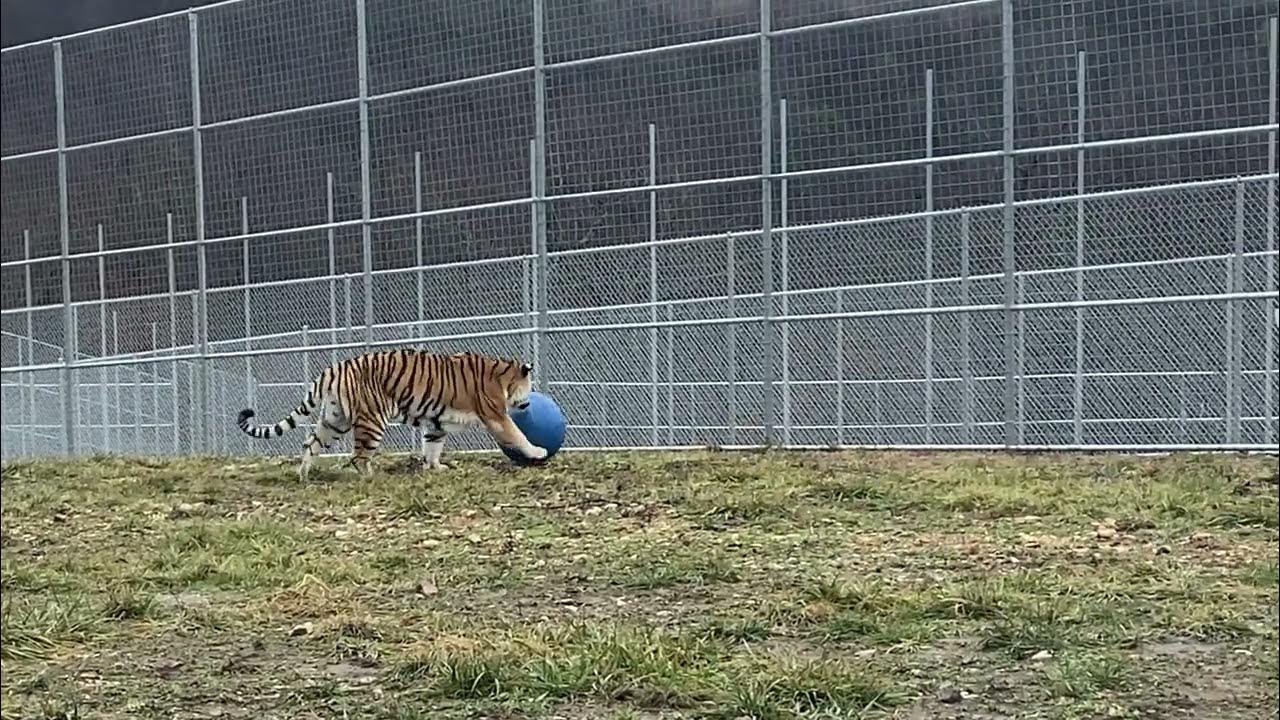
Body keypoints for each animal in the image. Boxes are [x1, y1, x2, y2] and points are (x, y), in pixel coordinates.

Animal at [236, 348, 547, 480]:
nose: (529, 403)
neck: (502, 375)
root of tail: (333, 368)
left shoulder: (436, 421)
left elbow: (432, 446)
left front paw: (435, 468)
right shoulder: (495, 415)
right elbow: (517, 435)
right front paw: (537, 451)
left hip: (335, 420)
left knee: (309, 443)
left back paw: (303, 475)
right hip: (372, 420)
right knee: (359, 457)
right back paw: (372, 477)